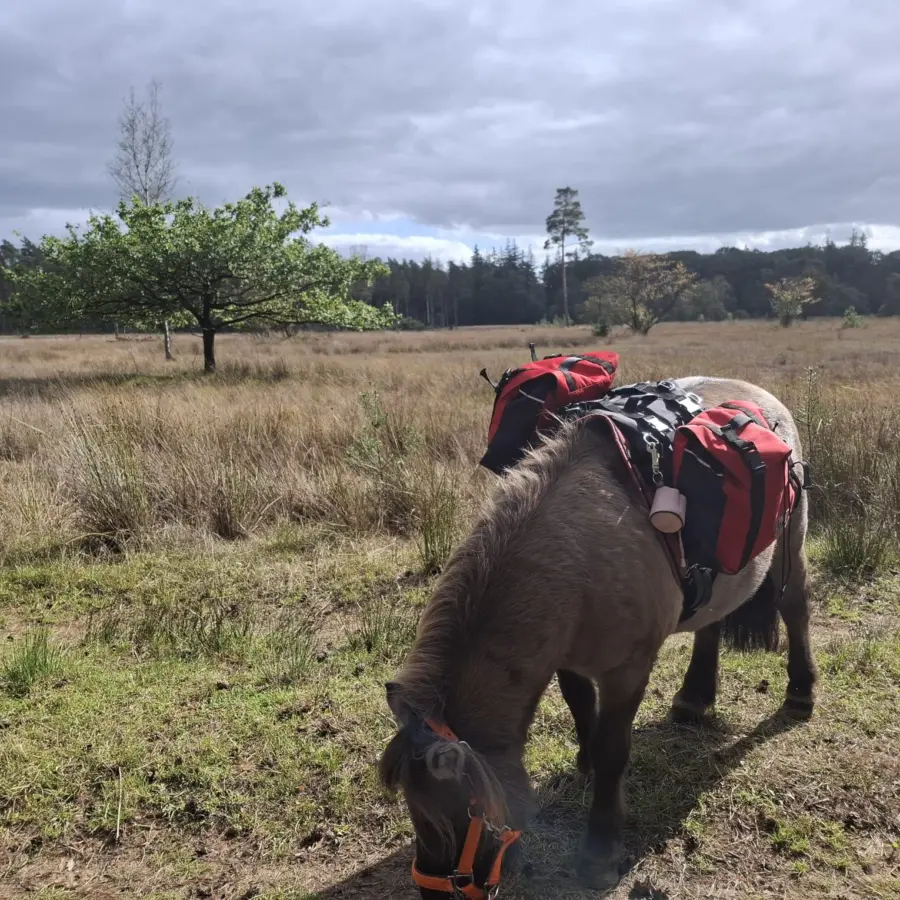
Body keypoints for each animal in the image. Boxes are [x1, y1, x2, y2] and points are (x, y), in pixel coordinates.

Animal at [378, 376, 817, 897]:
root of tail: (762, 395)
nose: (432, 890)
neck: (573, 558)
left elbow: (613, 749)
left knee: (796, 608)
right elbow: (579, 704)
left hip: (790, 541)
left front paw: (600, 848)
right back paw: (693, 699)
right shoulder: (565, 656)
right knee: (711, 625)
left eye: (460, 814)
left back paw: (800, 692)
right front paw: (584, 761)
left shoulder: (626, 671)